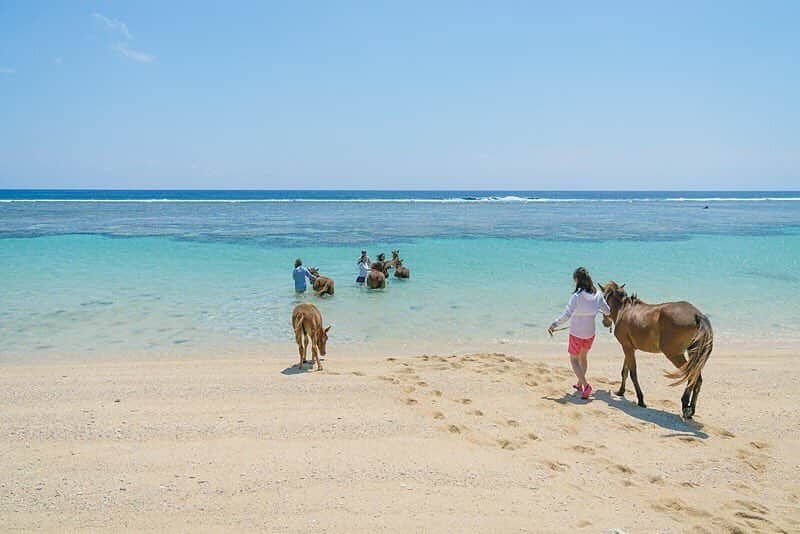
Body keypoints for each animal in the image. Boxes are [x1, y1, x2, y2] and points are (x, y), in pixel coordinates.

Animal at [600, 282, 712, 420]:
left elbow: (632, 373)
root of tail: (697, 315)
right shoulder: (629, 348)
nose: (604, 322)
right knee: (697, 378)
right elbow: (624, 371)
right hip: (693, 354)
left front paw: (641, 400)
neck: (624, 310)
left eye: (603, 298)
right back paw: (691, 410)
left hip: (674, 355)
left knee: (691, 376)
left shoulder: (627, 348)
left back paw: (685, 406)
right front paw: (621, 391)